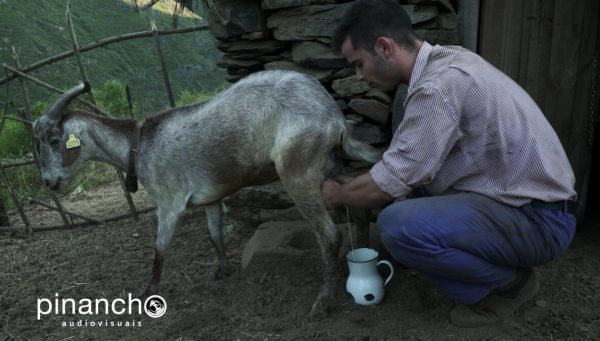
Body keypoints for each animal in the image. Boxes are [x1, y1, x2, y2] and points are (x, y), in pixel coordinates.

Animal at [31, 69, 380, 316]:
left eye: (54, 140)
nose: (49, 182)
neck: (139, 145)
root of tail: (333, 116)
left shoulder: (169, 202)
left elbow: (159, 249)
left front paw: (148, 293)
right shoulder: (212, 198)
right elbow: (214, 234)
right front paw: (222, 269)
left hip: (298, 168)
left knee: (330, 233)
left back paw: (323, 302)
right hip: (331, 164)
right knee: (359, 208)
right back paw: (357, 257)